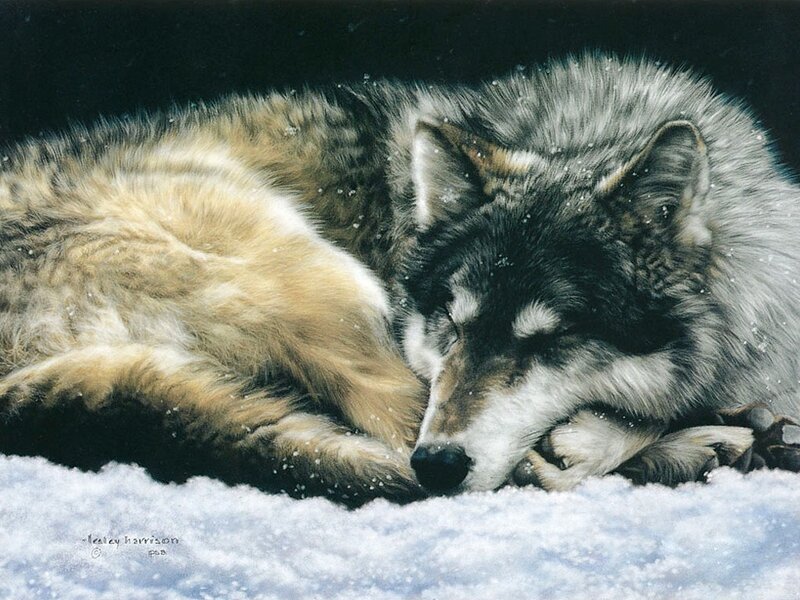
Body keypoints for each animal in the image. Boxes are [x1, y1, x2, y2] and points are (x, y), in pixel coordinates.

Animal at [0, 54, 797, 505]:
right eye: (451, 321)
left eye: (550, 340)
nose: (440, 464)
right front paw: (673, 434)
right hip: (329, 282)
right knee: (417, 442)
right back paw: (702, 448)